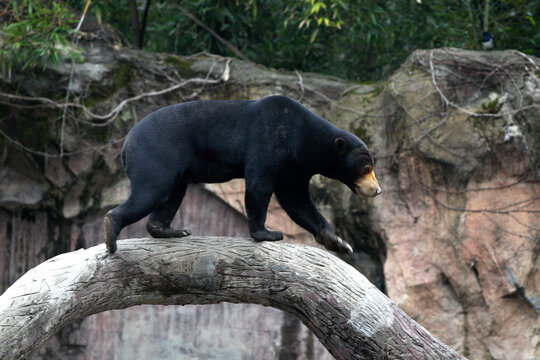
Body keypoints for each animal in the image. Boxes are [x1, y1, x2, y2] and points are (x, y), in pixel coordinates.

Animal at [104, 95, 380, 253]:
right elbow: (259, 185)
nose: (377, 190)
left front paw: (339, 242)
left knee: (170, 195)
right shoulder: (270, 141)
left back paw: (169, 230)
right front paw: (268, 233)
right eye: (366, 169)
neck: (304, 139)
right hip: (157, 155)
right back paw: (111, 230)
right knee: (151, 191)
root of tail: (127, 143)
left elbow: (297, 201)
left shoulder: (295, 167)